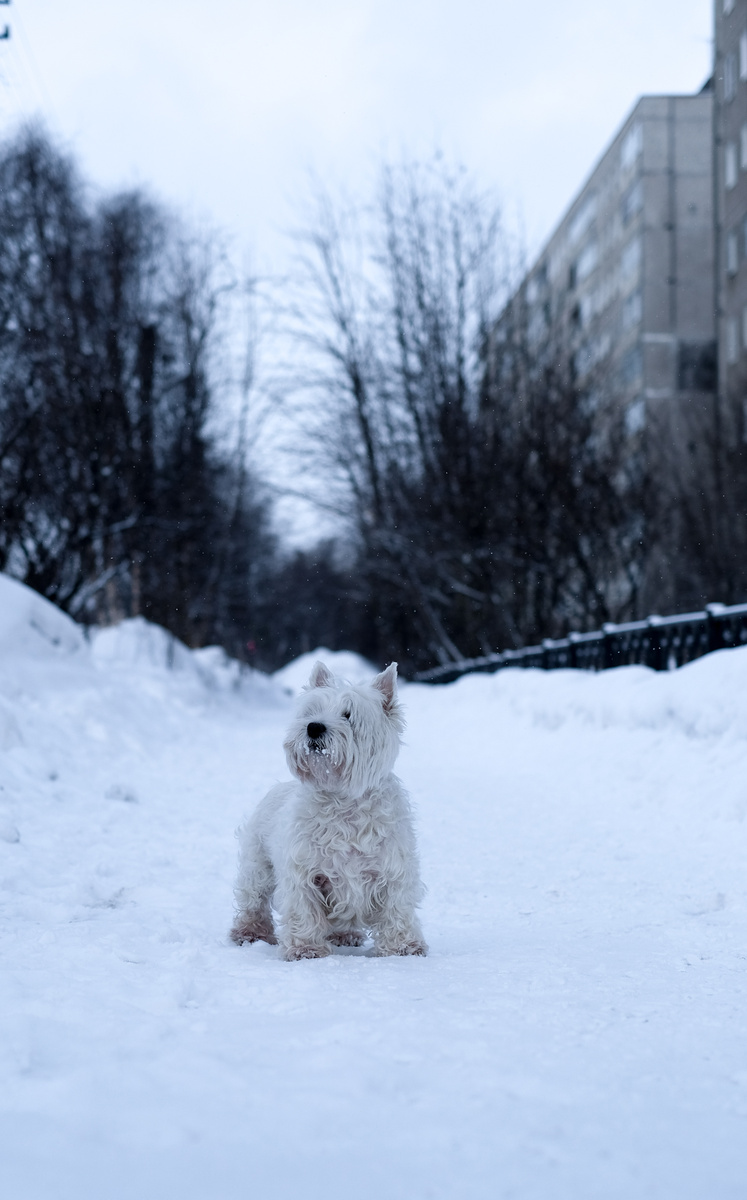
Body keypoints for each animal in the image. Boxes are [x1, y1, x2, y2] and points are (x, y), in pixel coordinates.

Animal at [228, 662, 427, 960]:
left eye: (348, 714)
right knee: (254, 900)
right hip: (257, 863)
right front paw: (305, 949)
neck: (343, 801)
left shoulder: (393, 869)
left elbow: (397, 908)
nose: (313, 727)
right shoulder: (304, 872)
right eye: (312, 712)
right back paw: (249, 932)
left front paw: (403, 947)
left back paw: (345, 935)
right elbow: (304, 910)